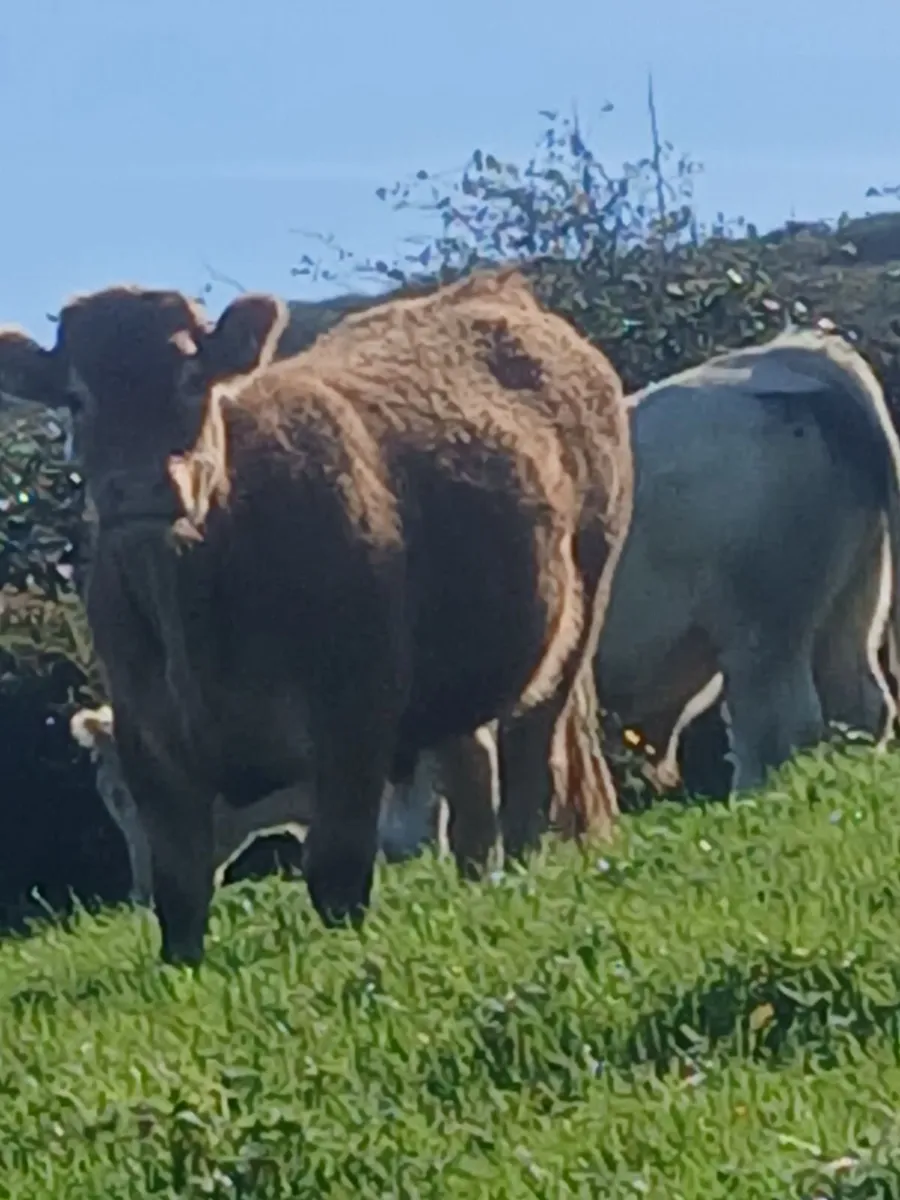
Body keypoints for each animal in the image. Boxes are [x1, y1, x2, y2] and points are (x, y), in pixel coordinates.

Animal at [0, 266, 633, 964]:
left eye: (193, 378)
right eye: (76, 398)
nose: (140, 488)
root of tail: (491, 288)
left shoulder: (352, 718)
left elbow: (338, 870)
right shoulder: (148, 738)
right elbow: (180, 892)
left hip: (577, 620)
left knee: (528, 774)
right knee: (471, 786)